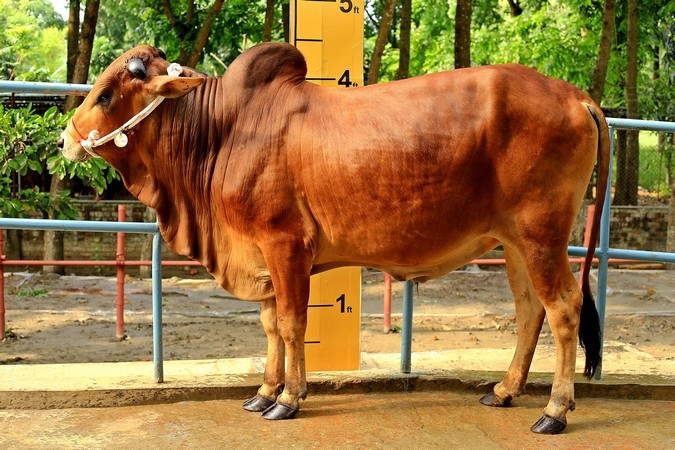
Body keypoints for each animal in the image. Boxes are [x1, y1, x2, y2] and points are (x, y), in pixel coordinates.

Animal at [58, 42, 609, 434]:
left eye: (107, 94)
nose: (65, 139)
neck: (224, 131)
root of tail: (577, 96)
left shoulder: (284, 244)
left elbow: (291, 323)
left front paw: (288, 399)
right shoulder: (261, 254)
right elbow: (270, 325)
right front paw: (263, 390)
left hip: (541, 234)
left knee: (563, 308)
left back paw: (555, 410)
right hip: (513, 240)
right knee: (529, 310)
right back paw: (506, 390)